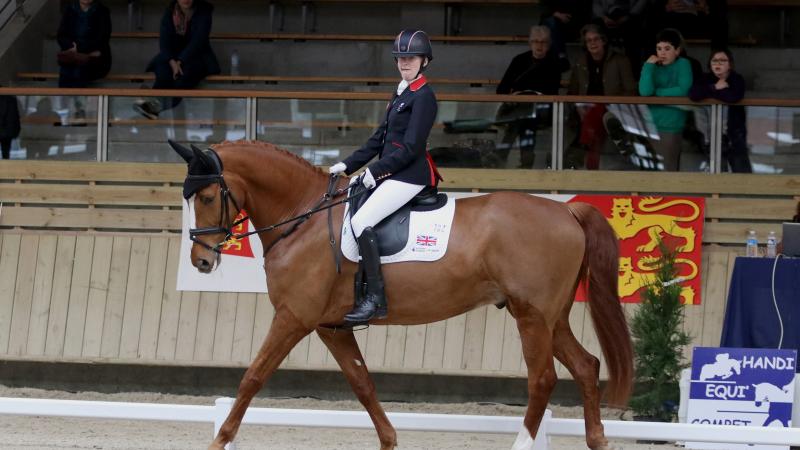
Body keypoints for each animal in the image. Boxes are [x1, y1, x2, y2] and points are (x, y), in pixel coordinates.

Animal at [172, 141, 636, 450]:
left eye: (208, 196)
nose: (201, 262)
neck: (301, 216)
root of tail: (566, 210)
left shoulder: (293, 318)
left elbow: (252, 377)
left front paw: (219, 441)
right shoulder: (330, 327)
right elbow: (362, 383)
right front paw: (390, 440)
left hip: (532, 317)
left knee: (543, 380)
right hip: (552, 317)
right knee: (587, 366)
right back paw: (597, 440)